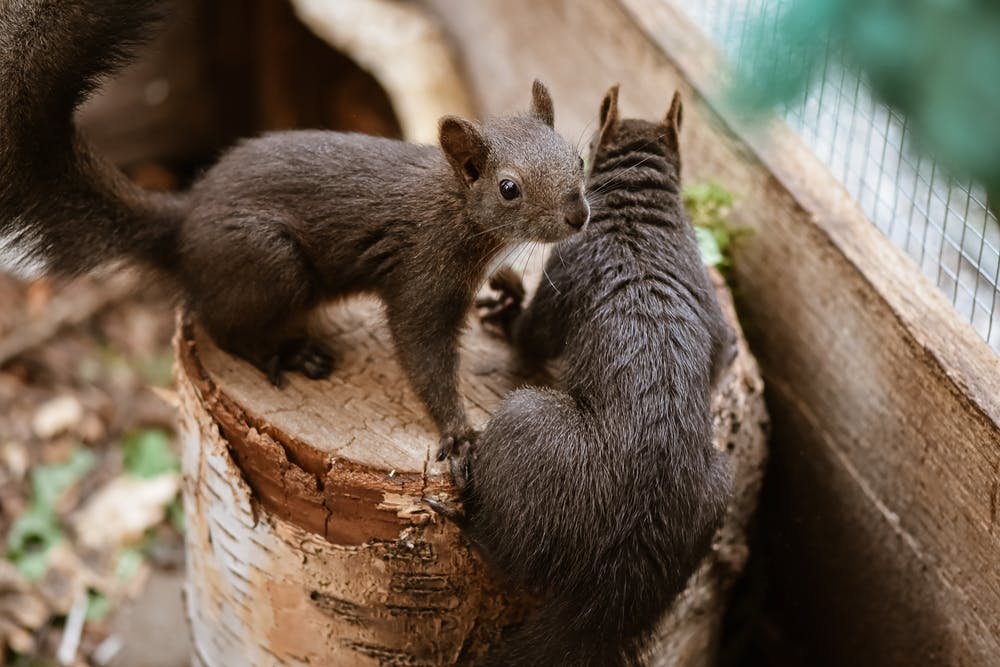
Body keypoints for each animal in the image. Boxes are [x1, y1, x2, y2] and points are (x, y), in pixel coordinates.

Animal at [0, 0, 589, 454]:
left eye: (577, 158)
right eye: (509, 188)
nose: (578, 214)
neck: (457, 208)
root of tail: (183, 225)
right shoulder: (422, 273)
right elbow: (422, 353)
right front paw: (458, 432)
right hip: (270, 263)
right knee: (218, 324)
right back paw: (285, 352)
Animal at [432, 87, 736, 666]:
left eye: (582, 157)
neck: (643, 215)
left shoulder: (569, 267)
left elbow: (532, 336)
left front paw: (508, 309)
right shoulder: (712, 306)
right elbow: (724, 355)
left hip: (527, 427)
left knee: (510, 559)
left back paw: (466, 514)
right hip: (716, 493)